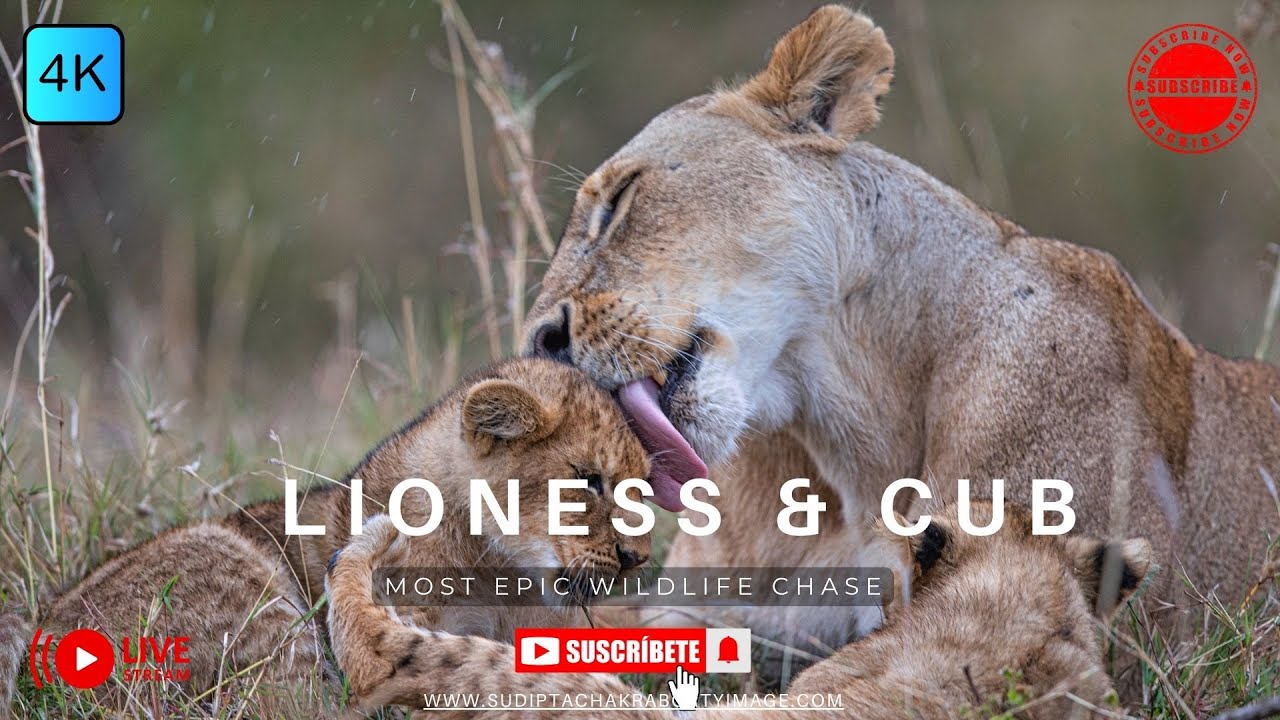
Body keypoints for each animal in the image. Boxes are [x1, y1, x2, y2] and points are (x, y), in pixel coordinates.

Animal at [0, 358, 652, 714]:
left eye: (642, 485)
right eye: (588, 479)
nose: (637, 557)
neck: (500, 569)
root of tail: (40, 629)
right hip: (248, 584)